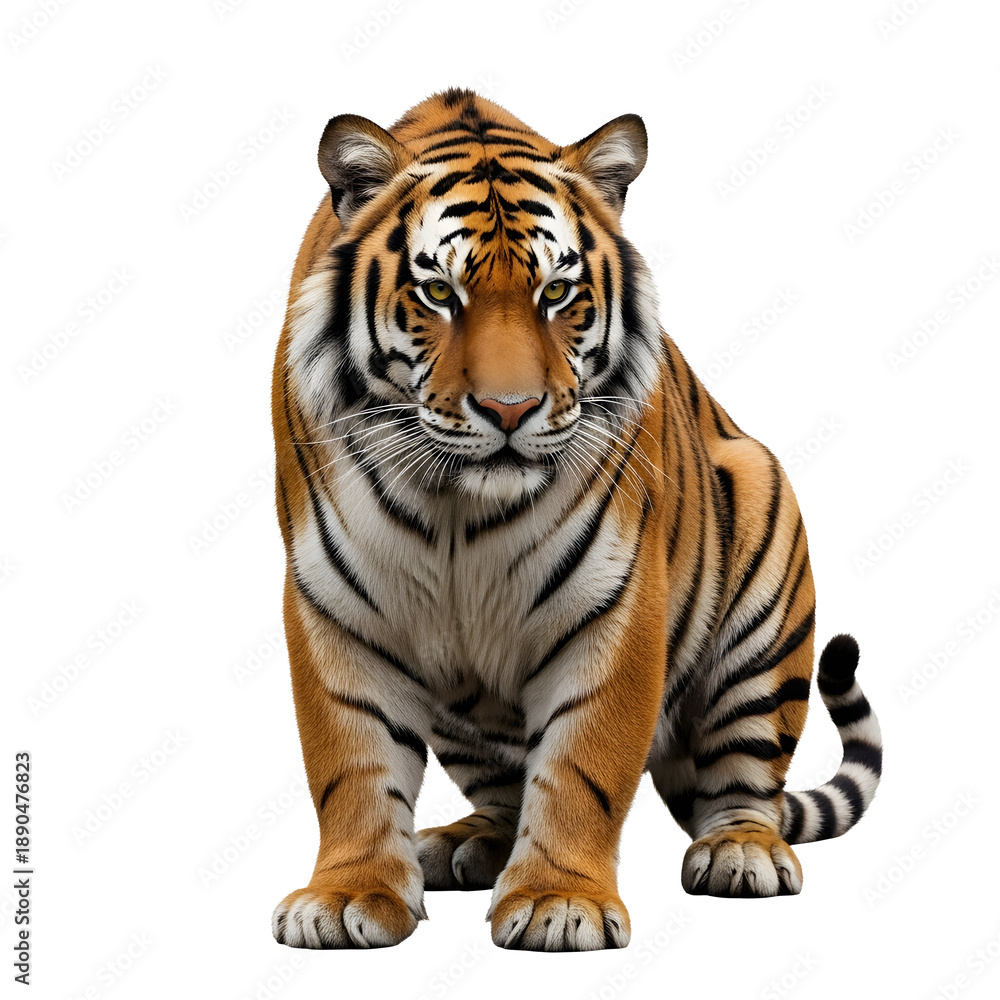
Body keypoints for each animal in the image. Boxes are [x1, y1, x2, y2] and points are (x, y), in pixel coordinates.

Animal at [269, 87, 883, 952]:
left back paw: (741, 851)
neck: (457, 504)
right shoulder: (333, 600)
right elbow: (351, 764)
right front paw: (348, 894)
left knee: (742, 778)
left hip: (763, 562)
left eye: (556, 294)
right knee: (503, 789)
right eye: (439, 294)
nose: (509, 409)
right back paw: (461, 845)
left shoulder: (616, 599)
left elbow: (582, 763)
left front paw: (560, 901)